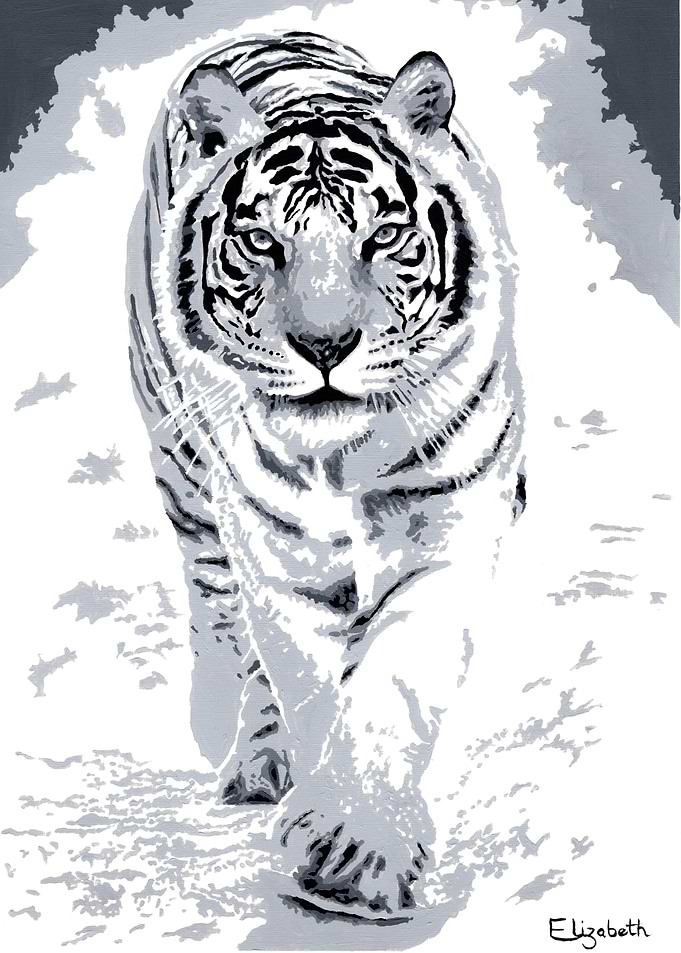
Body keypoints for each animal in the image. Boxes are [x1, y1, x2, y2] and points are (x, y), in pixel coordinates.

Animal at [126, 30, 524, 919]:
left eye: (383, 238)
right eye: (261, 243)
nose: (323, 346)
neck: (342, 459)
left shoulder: (449, 519)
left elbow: (395, 678)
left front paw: (361, 851)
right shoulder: (276, 550)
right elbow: (303, 676)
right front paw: (334, 828)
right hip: (185, 477)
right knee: (231, 627)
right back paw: (256, 763)